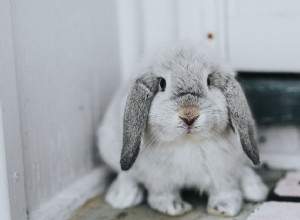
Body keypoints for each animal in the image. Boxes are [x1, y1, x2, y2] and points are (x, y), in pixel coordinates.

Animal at [97, 43, 268, 217]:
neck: (187, 141)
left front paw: (223, 208)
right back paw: (123, 197)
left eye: (209, 80)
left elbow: (225, 190)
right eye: (162, 83)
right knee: (126, 175)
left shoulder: (223, 171)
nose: (189, 116)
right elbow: (162, 194)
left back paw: (255, 189)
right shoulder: (159, 178)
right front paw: (174, 207)